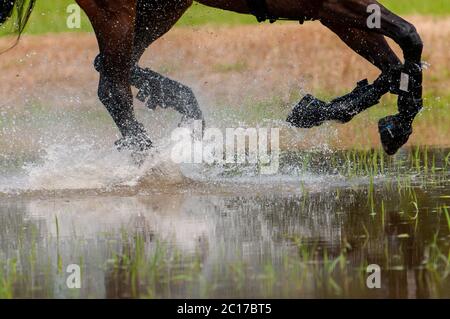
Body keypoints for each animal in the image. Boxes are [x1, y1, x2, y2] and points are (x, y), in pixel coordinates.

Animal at [0, 0, 422, 156]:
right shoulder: (331, 3)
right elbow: (409, 40)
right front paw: (398, 123)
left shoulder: (333, 8)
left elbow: (394, 67)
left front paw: (316, 110)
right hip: (115, 10)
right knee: (112, 88)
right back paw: (149, 161)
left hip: (161, 6)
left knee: (107, 65)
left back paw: (181, 103)